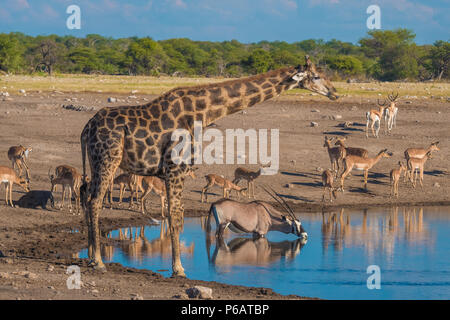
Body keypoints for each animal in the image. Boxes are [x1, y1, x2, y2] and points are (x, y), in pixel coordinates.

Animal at [80, 55, 338, 276]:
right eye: (316, 76)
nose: (335, 93)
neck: (201, 113)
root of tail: (86, 129)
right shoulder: (175, 170)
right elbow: (175, 217)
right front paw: (179, 269)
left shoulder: (174, 172)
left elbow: (176, 216)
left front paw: (178, 267)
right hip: (108, 160)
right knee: (94, 201)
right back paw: (99, 262)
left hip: (94, 162)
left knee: (88, 197)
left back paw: (92, 257)